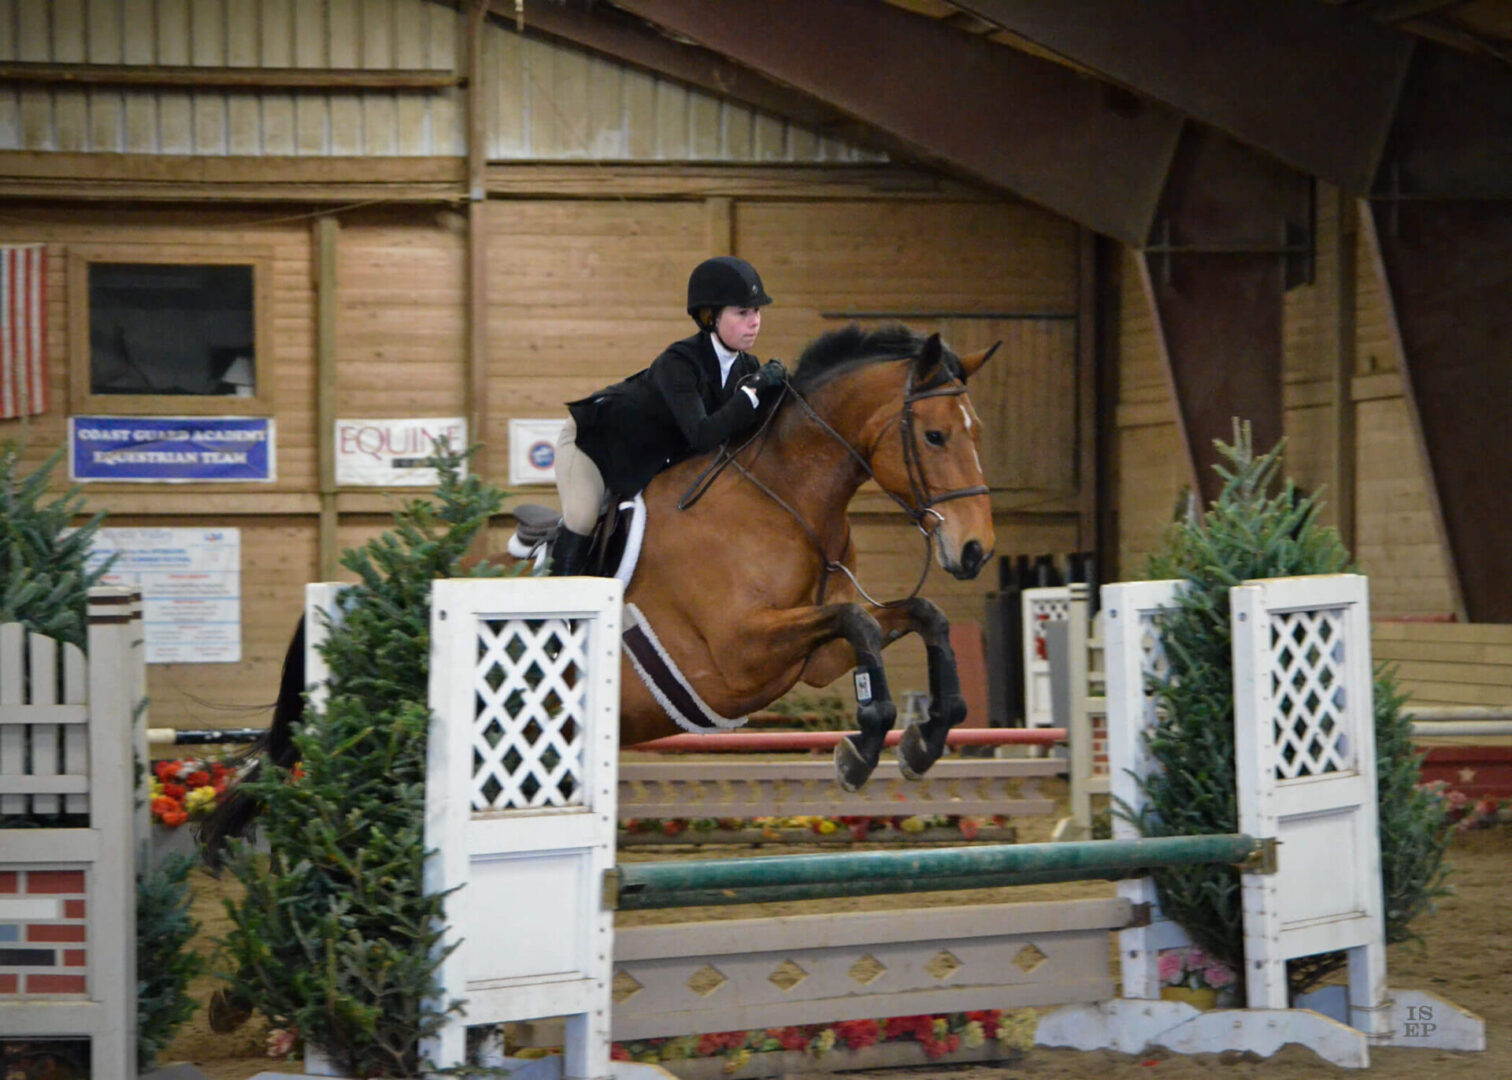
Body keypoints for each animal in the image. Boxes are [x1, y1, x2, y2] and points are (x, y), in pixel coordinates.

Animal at [195, 323, 997, 865]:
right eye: (932, 436)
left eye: (977, 430)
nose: (974, 550)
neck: (783, 500)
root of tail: (357, 592)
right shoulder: (738, 659)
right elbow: (859, 622)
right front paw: (863, 751)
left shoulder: (810, 659)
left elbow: (913, 617)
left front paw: (926, 736)